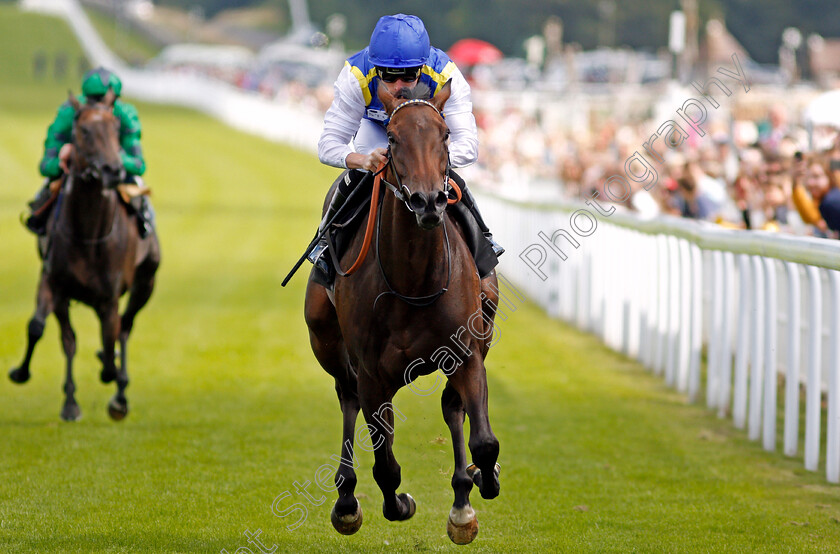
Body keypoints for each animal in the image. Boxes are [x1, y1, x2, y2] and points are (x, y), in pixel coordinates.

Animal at [8, 90, 161, 420]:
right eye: (84, 131)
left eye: (117, 128)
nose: (113, 170)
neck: (88, 233)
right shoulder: (53, 283)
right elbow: (41, 329)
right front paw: (25, 375)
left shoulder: (110, 298)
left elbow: (110, 344)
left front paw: (111, 372)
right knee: (74, 339)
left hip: (146, 282)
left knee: (125, 327)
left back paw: (120, 397)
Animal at [306, 82, 498, 544]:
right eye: (392, 139)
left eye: (445, 135)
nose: (428, 201)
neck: (415, 281)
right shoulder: (372, 372)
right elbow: (386, 465)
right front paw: (399, 504)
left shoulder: (466, 355)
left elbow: (483, 441)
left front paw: (482, 482)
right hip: (328, 341)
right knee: (349, 399)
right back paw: (346, 499)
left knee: (452, 408)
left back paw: (463, 496)